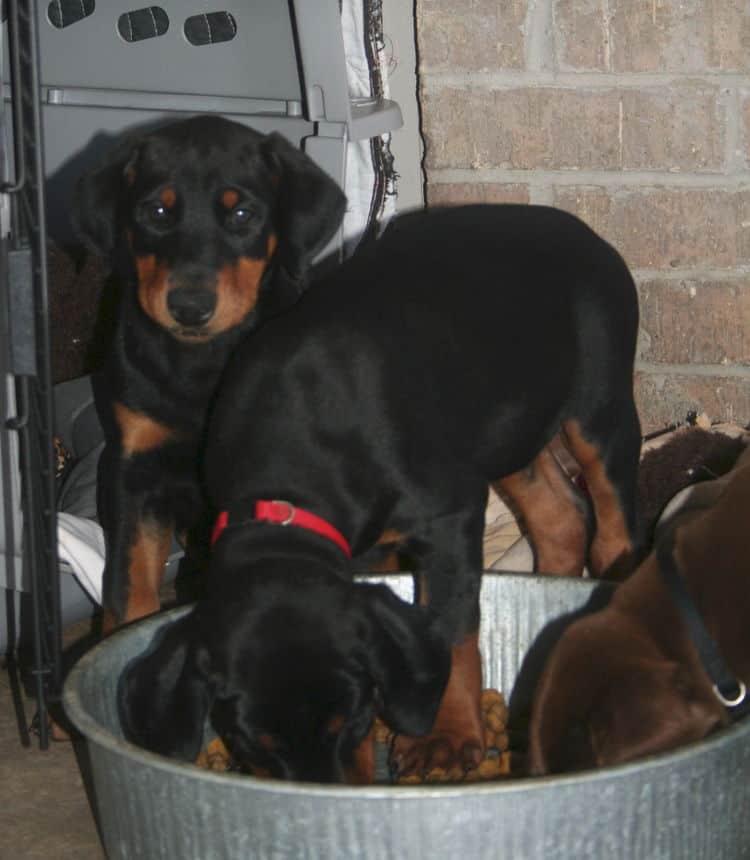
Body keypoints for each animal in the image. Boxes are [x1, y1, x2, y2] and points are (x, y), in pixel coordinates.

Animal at [70, 114, 346, 632]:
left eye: (242, 215)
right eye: (157, 211)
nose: (190, 307)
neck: (200, 364)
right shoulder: (135, 470)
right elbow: (128, 588)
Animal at [120, 205, 644, 784]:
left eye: (352, 716)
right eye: (251, 743)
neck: (285, 487)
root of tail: (582, 230)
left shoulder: (450, 516)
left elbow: (450, 627)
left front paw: (447, 737)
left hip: (598, 412)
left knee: (612, 526)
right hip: (509, 430)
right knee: (560, 519)